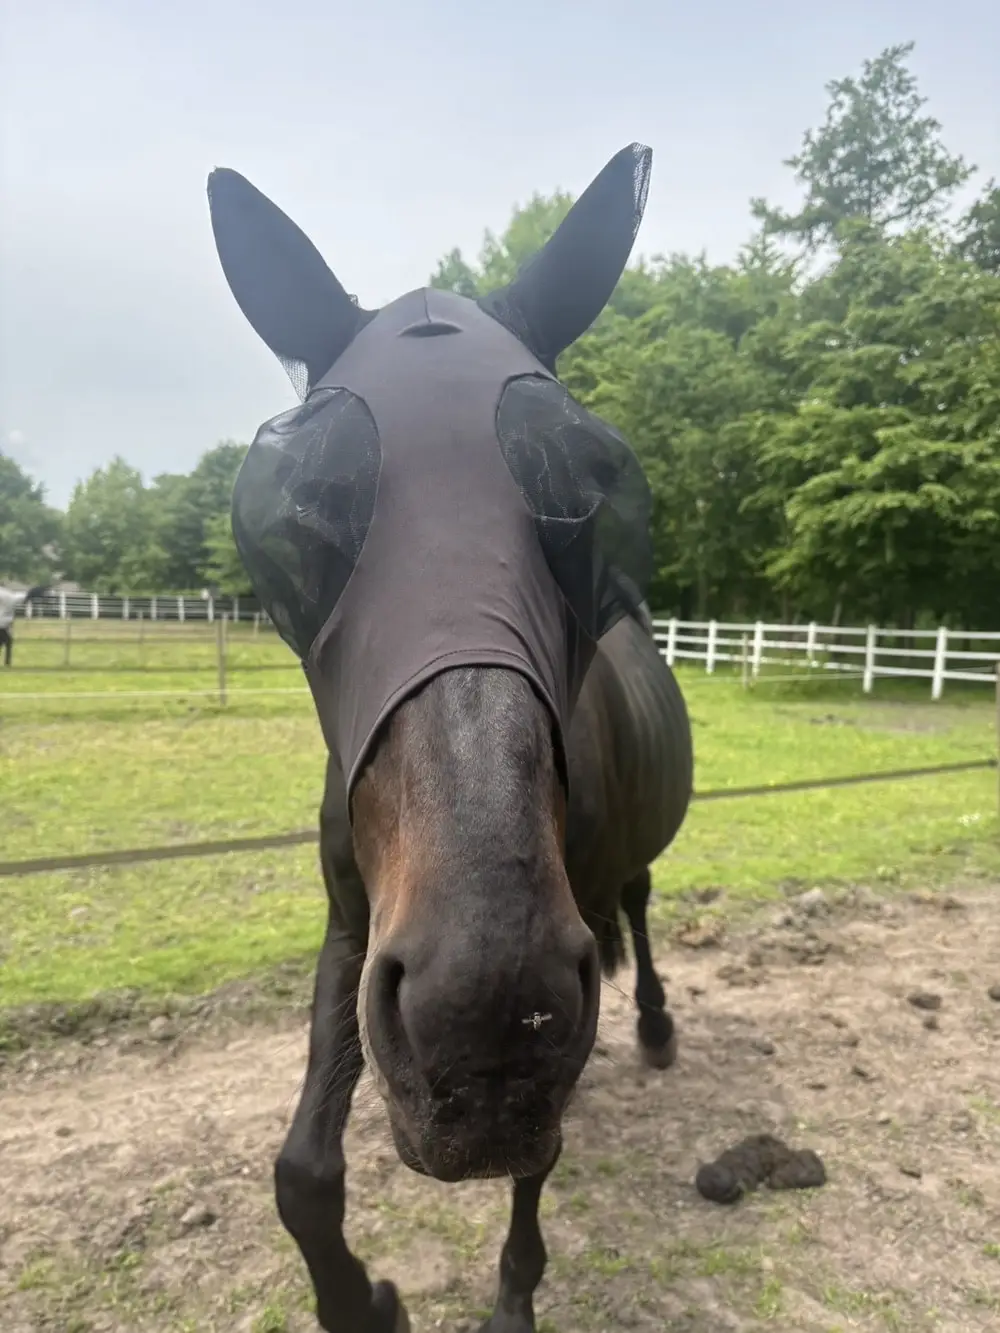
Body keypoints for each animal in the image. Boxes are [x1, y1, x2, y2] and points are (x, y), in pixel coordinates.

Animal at [208, 142, 693, 1333]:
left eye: (592, 492)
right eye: (299, 512)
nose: (477, 1009)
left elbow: (533, 1164)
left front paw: (509, 1298)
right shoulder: (354, 931)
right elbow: (302, 1171)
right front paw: (362, 1299)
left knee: (639, 909)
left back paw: (655, 1026)